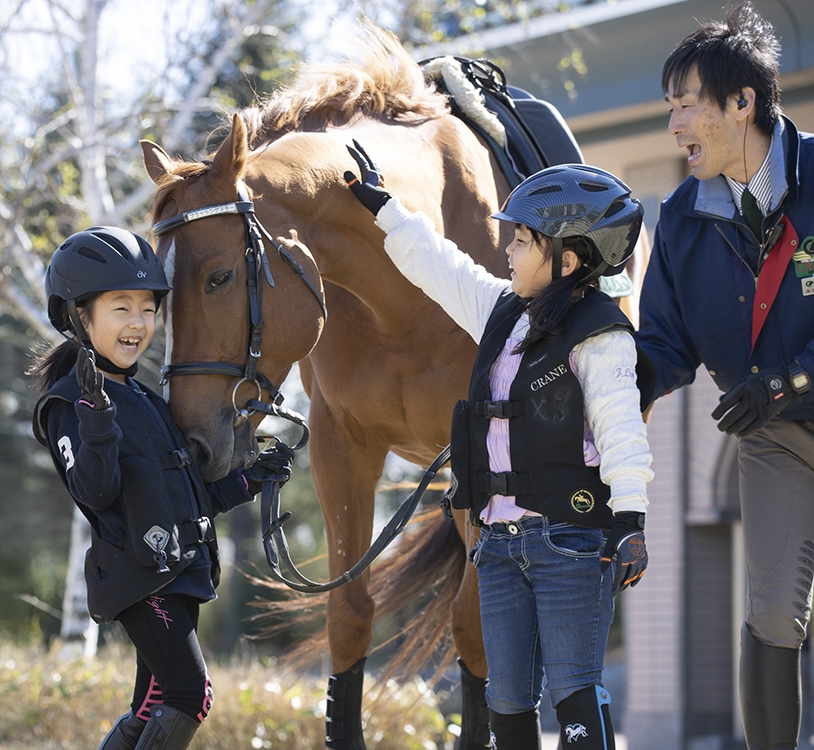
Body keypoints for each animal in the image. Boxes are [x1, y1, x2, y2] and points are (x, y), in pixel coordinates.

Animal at [140, 26, 648, 748]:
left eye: (218, 277)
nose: (192, 440)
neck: (396, 299)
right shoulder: (341, 448)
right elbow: (350, 615)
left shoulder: (476, 461)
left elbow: (478, 630)